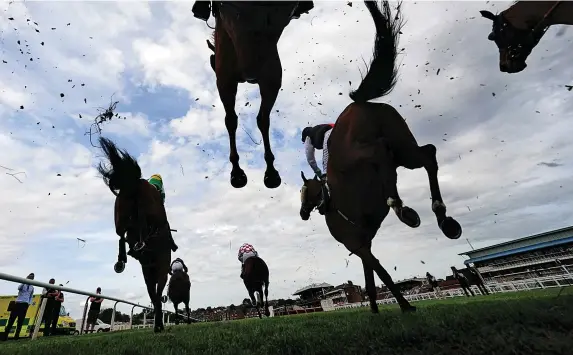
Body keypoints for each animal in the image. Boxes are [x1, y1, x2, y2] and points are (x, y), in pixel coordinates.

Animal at [96, 137, 171, 334]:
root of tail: (136, 182)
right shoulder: (158, 272)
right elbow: (156, 296)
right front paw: (158, 324)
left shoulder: (150, 273)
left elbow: (154, 296)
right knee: (135, 226)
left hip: (120, 210)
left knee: (122, 232)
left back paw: (124, 257)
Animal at [193, 1, 312, 191]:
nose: (249, 75)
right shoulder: (232, 80)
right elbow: (235, 120)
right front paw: (238, 172)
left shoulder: (265, 77)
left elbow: (257, 120)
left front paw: (268, 171)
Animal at [300, 0, 460, 318]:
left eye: (303, 192)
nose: (302, 213)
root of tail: (357, 103)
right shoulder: (364, 243)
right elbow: (370, 279)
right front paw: (375, 309)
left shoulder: (359, 244)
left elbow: (380, 274)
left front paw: (403, 305)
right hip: (404, 146)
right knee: (427, 154)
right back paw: (442, 217)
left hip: (365, 153)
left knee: (382, 154)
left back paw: (402, 207)